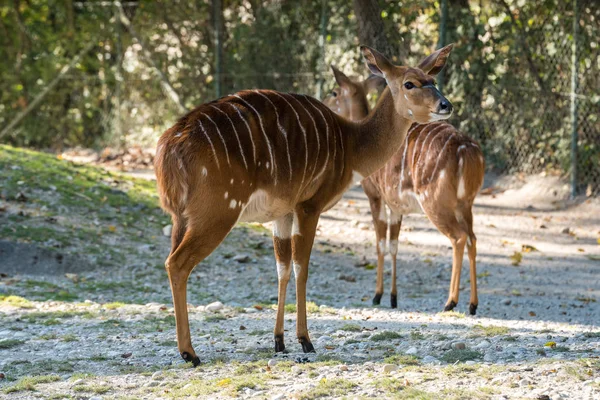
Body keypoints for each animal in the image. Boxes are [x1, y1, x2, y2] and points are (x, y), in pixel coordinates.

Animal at [155, 43, 454, 366]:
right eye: (409, 83)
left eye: (432, 80)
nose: (446, 105)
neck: (350, 145)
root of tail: (169, 147)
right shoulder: (309, 206)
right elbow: (302, 268)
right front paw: (305, 341)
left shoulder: (283, 213)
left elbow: (282, 268)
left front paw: (279, 342)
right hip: (217, 213)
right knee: (177, 264)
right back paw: (189, 353)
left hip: (181, 218)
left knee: (173, 261)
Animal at [326, 62, 486, 314]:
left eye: (334, 93)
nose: (324, 102)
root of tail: (467, 150)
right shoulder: (396, 205)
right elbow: (394, 244)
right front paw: (393, 297)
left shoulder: (375, 196)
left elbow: (380, 243)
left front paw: (377, 295)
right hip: (465, 204)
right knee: (472, 238)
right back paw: (472, 304)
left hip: (436, 202)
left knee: (459, 238)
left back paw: (450, 302)